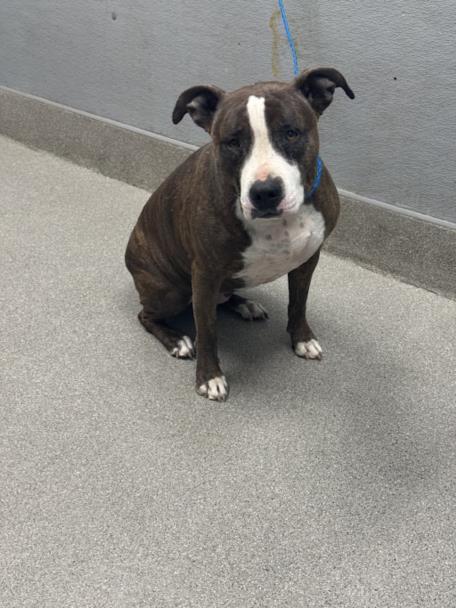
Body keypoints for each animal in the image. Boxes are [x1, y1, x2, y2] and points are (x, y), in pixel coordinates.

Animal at [125, 66, 354, 401]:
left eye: (291, 133)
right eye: (232, 142)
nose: (265, 192)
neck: (278, 223)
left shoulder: (308, 258)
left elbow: (299, 302)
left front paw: (302, 338)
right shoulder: (205, 274)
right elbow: (207, 330)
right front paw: (209, 377)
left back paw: (244, 304)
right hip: (170, 291)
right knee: (148, 316)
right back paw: (177, 339)